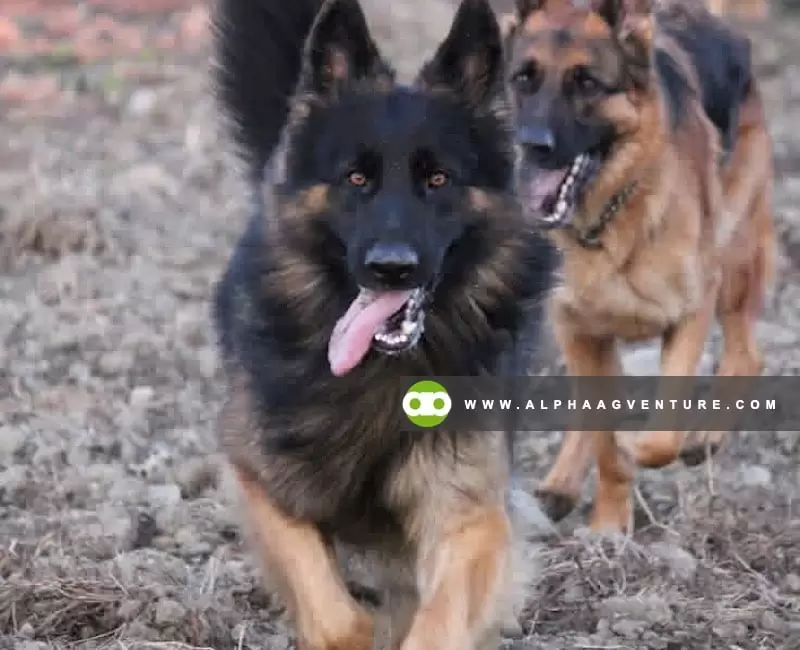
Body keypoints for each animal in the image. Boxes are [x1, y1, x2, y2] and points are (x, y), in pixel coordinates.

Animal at [210, 0, 557, 648]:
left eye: (438, 179)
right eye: (356, 178)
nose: (392, 267)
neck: (381, 372)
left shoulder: (468, 513)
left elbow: (437, 620)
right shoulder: (262, 478)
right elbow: (336, 615)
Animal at [502, 0, 774, 531]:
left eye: (587, 83)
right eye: (524, 78)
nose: (531, 146)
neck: (609, 216)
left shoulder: (692, 310)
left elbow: (660, 434)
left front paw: (642, 448)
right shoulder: (577, 328)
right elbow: (604, 440)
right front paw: (608, 524)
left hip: (734, 264)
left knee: (747, 354)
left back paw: (705, 437)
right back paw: (562, 483)